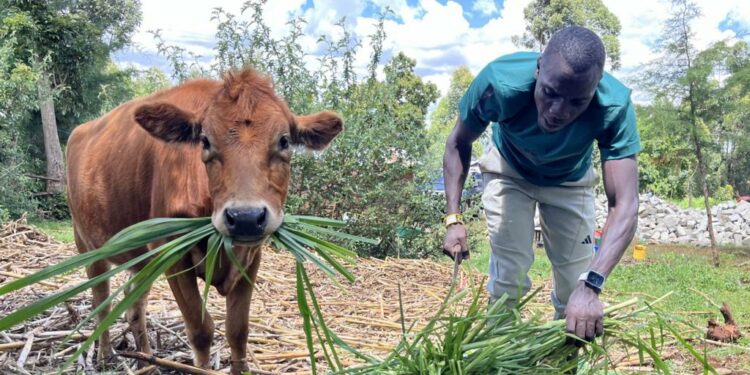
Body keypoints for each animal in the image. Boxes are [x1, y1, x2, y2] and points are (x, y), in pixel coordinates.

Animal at [67, 68, 344, 374]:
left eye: (284, 140)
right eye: (205, 141)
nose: (246, 218)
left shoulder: (251, 256)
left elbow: (238, 330)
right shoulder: (172, 254)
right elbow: (200, 331)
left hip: (142, 260)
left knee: (134, 305)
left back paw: (146, 361)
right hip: (87, 243)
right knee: (101, 301)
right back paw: (105, 355)